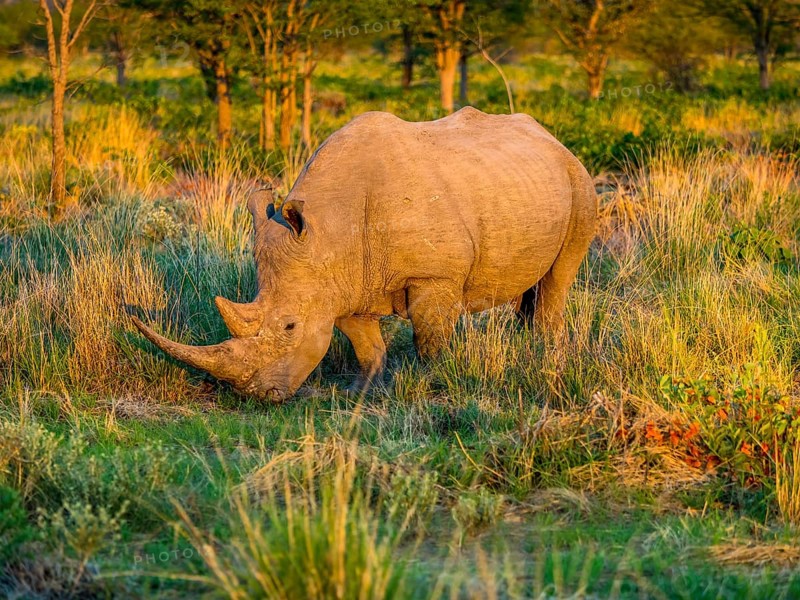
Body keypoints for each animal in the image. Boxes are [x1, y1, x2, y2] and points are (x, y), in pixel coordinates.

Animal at [133, 107, 597, 401]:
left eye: (289, 327)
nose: (256, 395)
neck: (328, 232)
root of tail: (551, 137)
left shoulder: (434, 277)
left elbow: (430, 337)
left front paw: (433, 382)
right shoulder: (342, 281)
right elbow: (365, 344)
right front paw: (361, 392)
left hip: (579, 182)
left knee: (560, 275)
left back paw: (543, 353)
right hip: (522, 182)